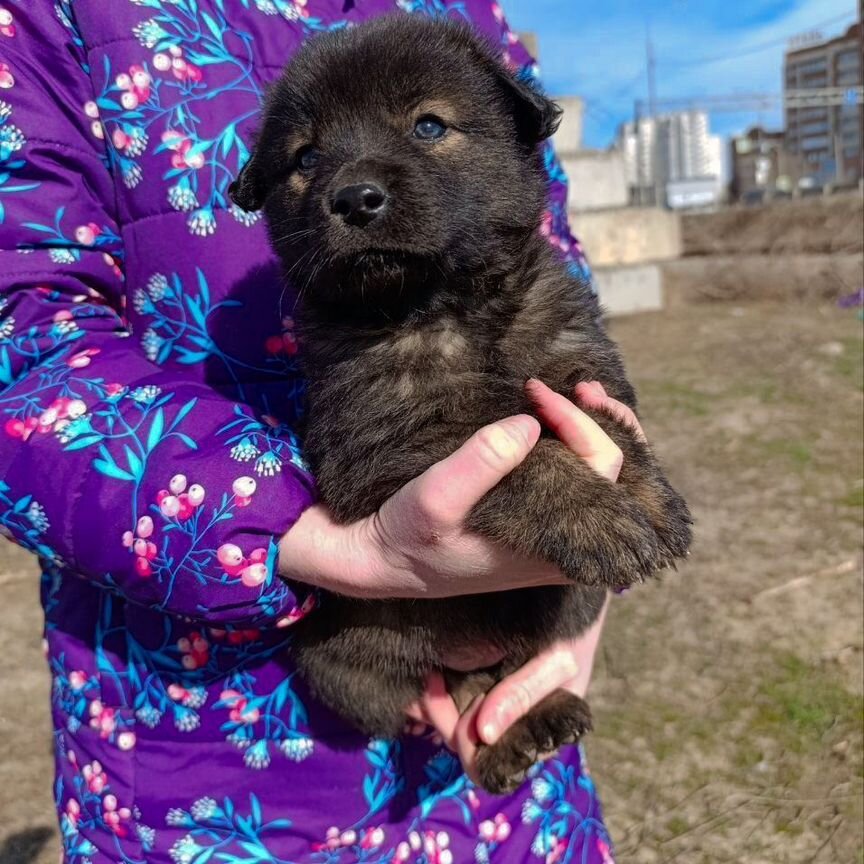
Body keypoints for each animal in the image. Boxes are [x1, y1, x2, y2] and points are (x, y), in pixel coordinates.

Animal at [230, 15, 688, 796]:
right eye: (306, 156)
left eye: (428, 125)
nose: (354, 198)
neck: (450, 306)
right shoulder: (384, 445)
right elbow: (525, 449)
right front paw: (592, 515)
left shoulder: (577, 363)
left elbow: (609, 426)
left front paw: (652, 501)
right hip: (345, 659)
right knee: (454, 685)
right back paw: (503, 738)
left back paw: (539, 716)